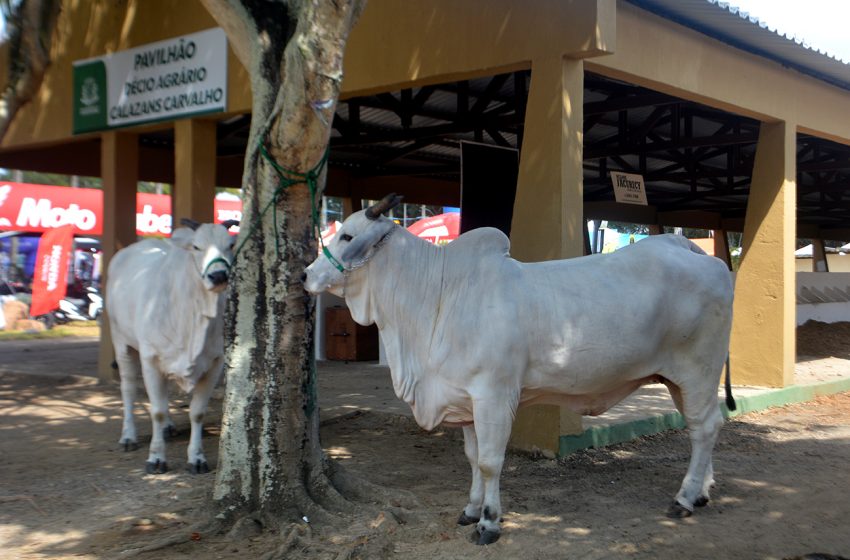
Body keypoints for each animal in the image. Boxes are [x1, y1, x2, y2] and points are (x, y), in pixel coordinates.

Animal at [109, 218, 237, 472]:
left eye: (230, 245)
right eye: (196, 247)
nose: (219, 276)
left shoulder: (214, 363)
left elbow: (197, 412)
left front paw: (197, 458)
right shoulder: (150, 360)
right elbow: (156, 411)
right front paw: (156, 458)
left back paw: (167, 427)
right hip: (121, 341)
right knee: (128, 389)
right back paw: (128, 436)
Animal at [304, 195, 736, 544]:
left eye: (347, 236)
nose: (306, 275)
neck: (438, 296)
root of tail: (690, 249)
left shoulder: (493, 396)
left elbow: (490, 461)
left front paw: (489, 522)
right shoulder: (464, 401)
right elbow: (472, 458)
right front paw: (470, 510)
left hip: (698, 370)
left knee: (705, 427)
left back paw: (684, 499)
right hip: (678, 380)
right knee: (702, 426)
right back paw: (701, 491)